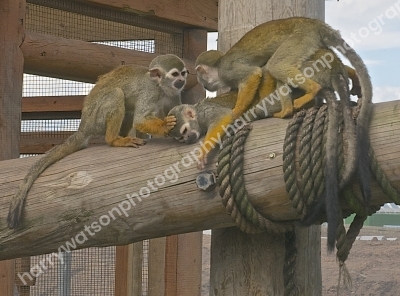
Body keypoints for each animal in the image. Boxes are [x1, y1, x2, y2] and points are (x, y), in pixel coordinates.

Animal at [6, 53, 188, 229]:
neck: (162, 88)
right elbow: (140, 120)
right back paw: (114, 140)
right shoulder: (150, 92)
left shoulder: (174, 94)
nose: (182, 81)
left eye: (183, 73)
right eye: (175, 74)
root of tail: (84, 124)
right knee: (116, 94)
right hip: (97, 117)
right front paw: (165, 126)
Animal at [170, 48, 358, 250]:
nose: (187, 139)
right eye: (180, 137)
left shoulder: (206, 111)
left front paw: (205, 149)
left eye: (184, 131)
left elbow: (223, 116)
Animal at [195, 16, 372, 219]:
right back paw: (349, 74)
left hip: (300, 39)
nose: (204, 86)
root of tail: (314, 23)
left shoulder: (227, 70)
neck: (219, 66)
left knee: (276, 65)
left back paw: (307, 94)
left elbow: (254, 75)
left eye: (201, 78)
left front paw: (237, 112)